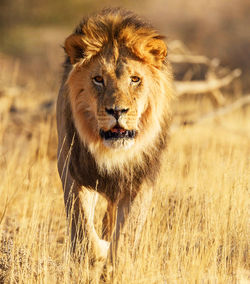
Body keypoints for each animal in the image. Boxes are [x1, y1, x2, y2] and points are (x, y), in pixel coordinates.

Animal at [56, 6, 174, 264]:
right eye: (98, 79)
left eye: (135, 79)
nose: (117, 111)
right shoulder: (73, 169)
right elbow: (82, 226)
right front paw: (98, 251)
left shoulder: (140, 179)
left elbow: (127, 233)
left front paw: (116, 261)